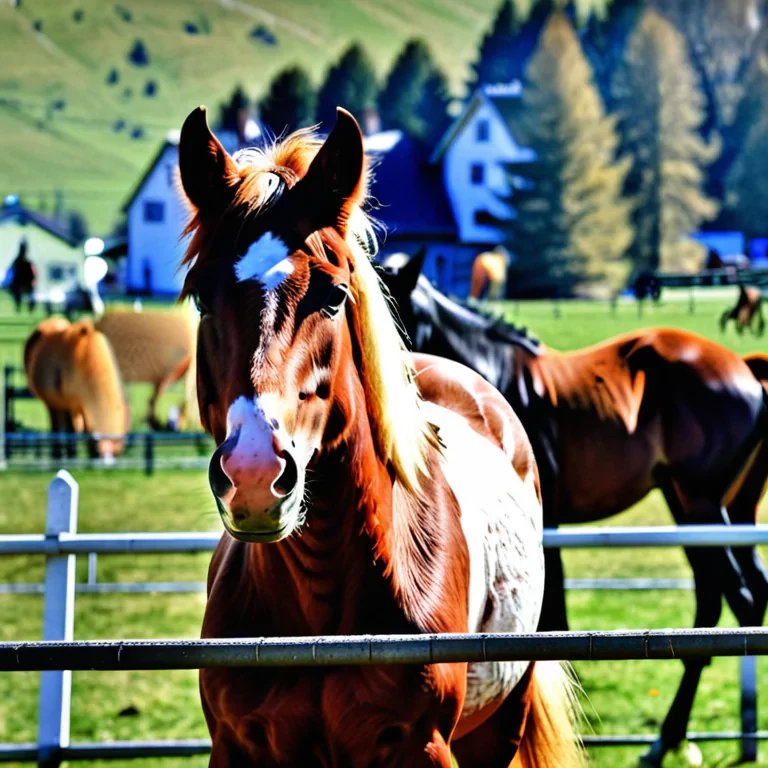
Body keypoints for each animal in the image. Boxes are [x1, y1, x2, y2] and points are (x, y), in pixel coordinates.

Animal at [24, 317, 129, 461]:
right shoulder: (71, 403)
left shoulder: (82, 405)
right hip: (54, 404)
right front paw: (69, 455)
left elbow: (83, 429)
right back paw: (59, 453)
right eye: (98, 454)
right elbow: (73, 430)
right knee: (57, 426)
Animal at [177, 105, 586, 767]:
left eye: (333, 295)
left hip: (501, 722)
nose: (255, 475)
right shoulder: (236, 747)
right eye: (200, 299)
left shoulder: (422, 748)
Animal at [379, 252, 768, 767]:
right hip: (709, 507)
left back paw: (671, 736)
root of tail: (745, 367)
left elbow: (556, 612)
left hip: (702, 504)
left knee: (737, 596)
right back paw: (676, 736)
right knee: (734, 594)